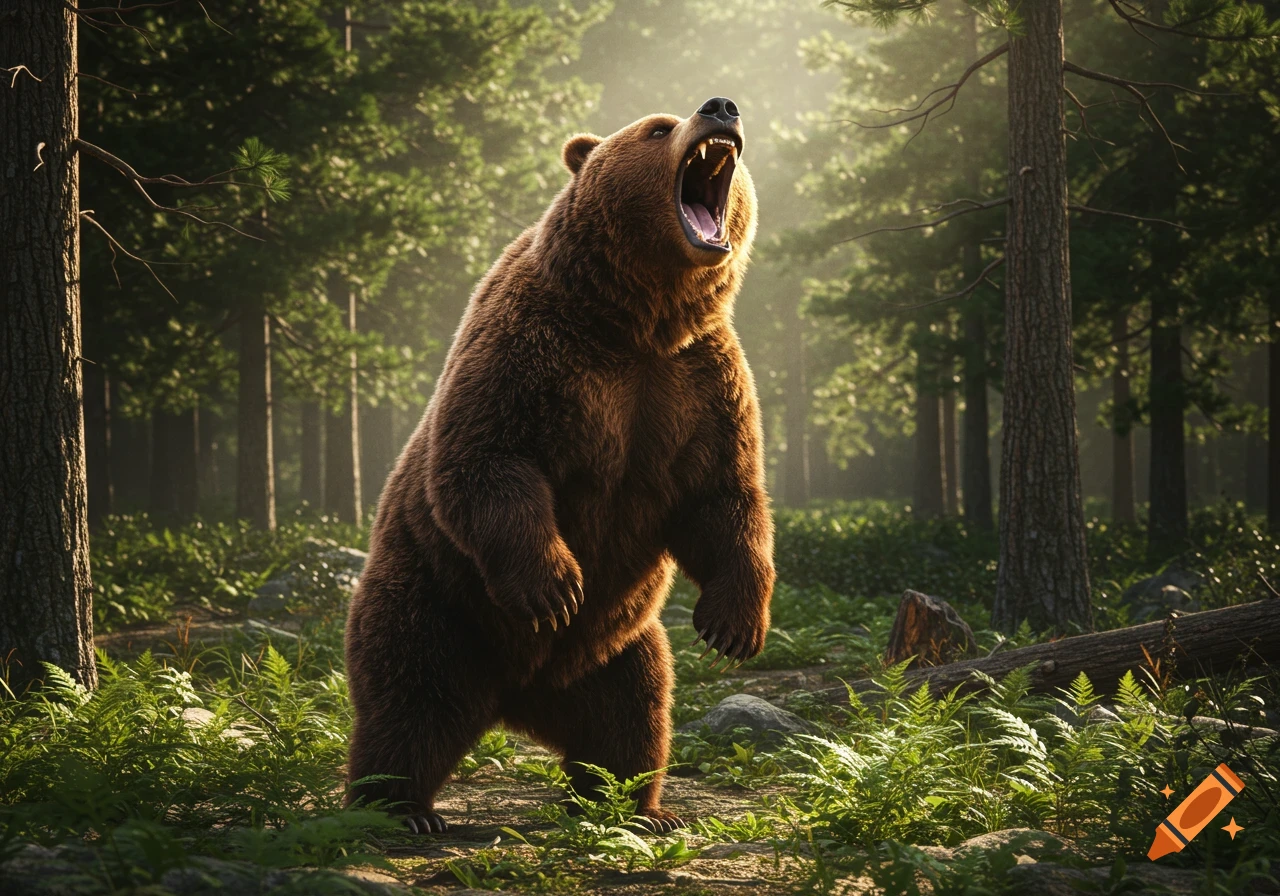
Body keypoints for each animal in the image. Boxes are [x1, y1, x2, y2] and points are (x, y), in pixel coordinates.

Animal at [344, 96, 775, 834]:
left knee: (632, 714)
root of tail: (516, 697)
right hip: (438, 600)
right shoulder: (536, 350)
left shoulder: (698, 381)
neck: (641, 319)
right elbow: (491, 458)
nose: (722, 107)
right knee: (408, 696)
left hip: (616, 649)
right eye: (658, 127)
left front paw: (733, 626)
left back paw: (635, 806)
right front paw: (555, 586)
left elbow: (723, 497)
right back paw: (399, 807)